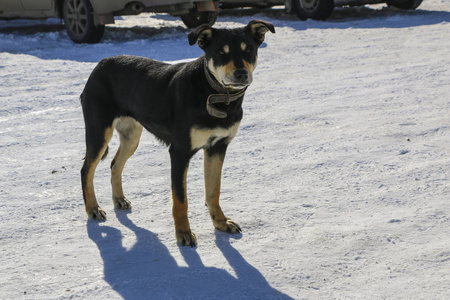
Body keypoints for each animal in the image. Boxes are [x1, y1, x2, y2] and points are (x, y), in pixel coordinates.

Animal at [81, 19, 276, 247]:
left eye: (249, 51)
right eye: (221, 52)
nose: (241, 74)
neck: (214, 94)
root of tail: (99, 65)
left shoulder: (218, 147)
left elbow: (214, 191)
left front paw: (220, 222)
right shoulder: (180, 152)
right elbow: (180, 199)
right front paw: (184, 233)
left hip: (131, 136)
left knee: (115, 164)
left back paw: (119, 199)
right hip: (99, 132)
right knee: (86, 170)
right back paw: (93, 209)